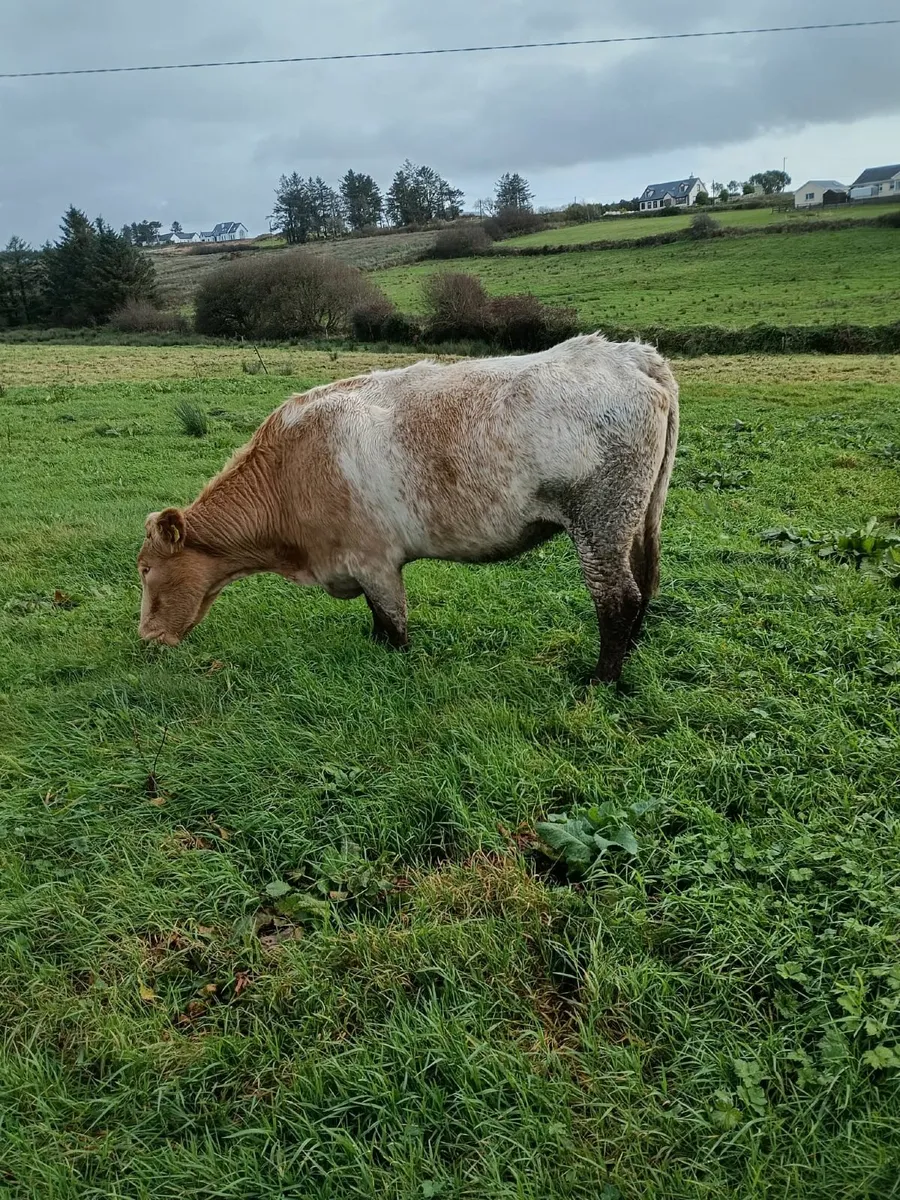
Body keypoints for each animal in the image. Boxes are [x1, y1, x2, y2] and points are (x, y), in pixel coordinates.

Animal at [138, 333, 679, 683]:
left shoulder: (374, 560)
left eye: (144, 570)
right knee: (643, 585)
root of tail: (627, 353)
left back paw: (601, 679)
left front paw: (394, 665)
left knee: (618, 598)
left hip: (599, 520)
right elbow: (379, 624)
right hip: (634, 517)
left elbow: (394, 624)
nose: (145, 637)